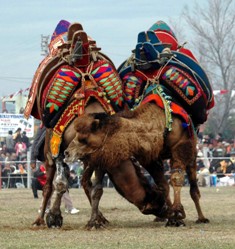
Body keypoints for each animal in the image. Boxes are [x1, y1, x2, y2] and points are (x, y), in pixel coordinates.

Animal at [64, 102, 209, 227]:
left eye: (83, 139)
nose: (66, 153)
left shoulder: (181, 147)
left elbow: (176, 178)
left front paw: (177, 212)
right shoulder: (150, 158)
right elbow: (163, 185)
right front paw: (173, 217)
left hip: (192, 152)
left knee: (193, 186)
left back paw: (202, 218)